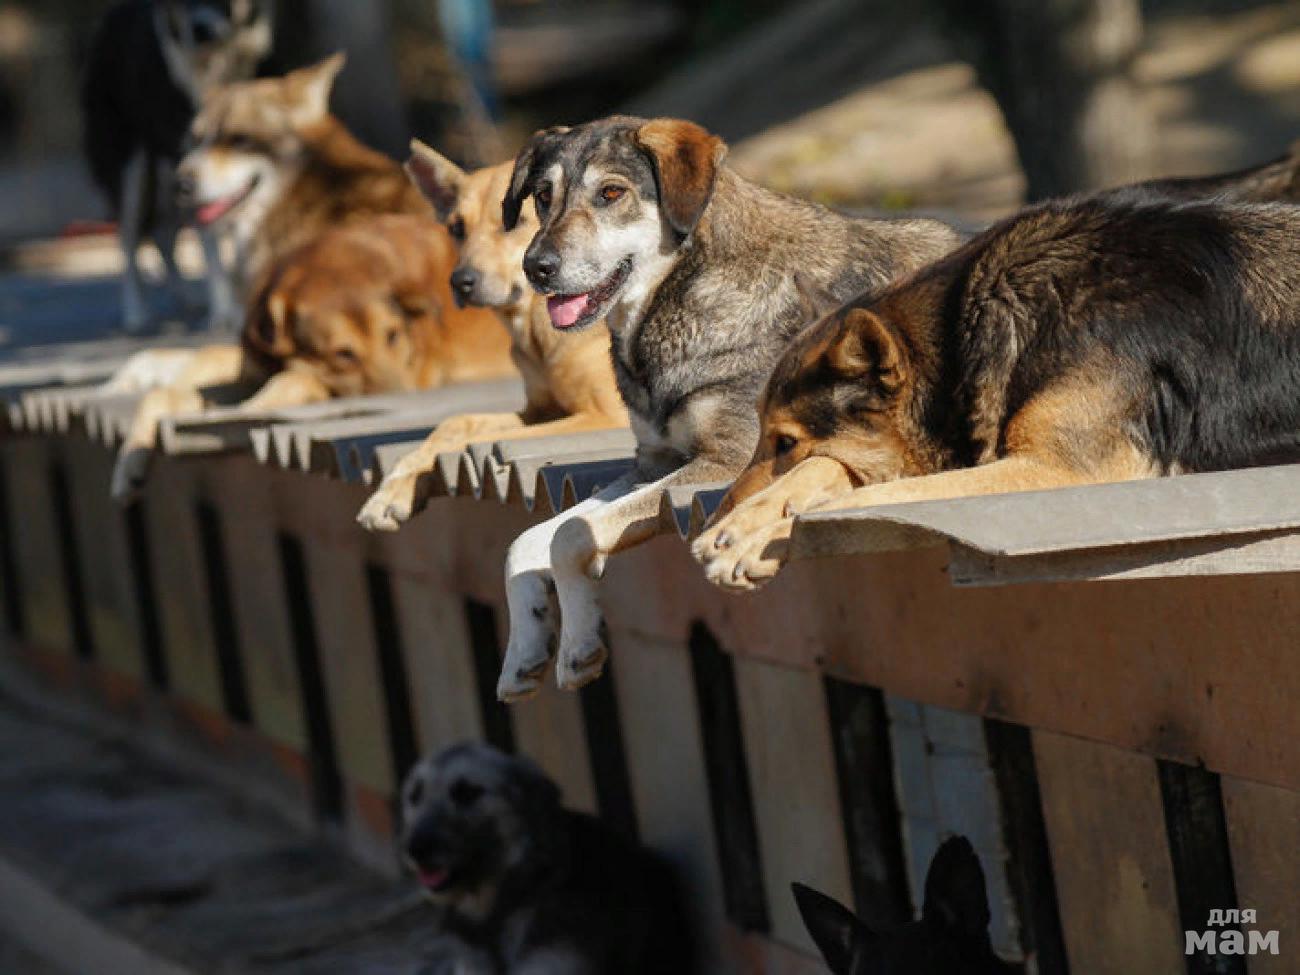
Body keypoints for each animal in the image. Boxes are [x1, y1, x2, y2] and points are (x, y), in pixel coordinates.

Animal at [81, 0, 274, 335]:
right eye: (184, 4)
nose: (201, 29)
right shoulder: (193, 162)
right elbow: (210, 242)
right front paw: (224, 314)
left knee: (164, 236)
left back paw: (185, 300)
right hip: (133, 169)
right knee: (128, 239)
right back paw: (136, 313)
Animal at [109, 213, 512, 504]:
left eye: (393, 336)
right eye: (343, 354)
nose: (407, 395)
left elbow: (291, 380)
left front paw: (246, 410)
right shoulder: (253, 370)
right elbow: (168, 392)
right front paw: (129, 462)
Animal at [483, 116, 961, 702]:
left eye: (611, 193)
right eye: (542, 198)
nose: (537, 268)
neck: (680, 296)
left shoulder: (725, 460)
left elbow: (568, 534)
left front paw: (576, 644)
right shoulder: (653, 465)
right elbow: (529, 540)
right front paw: (531, 652)